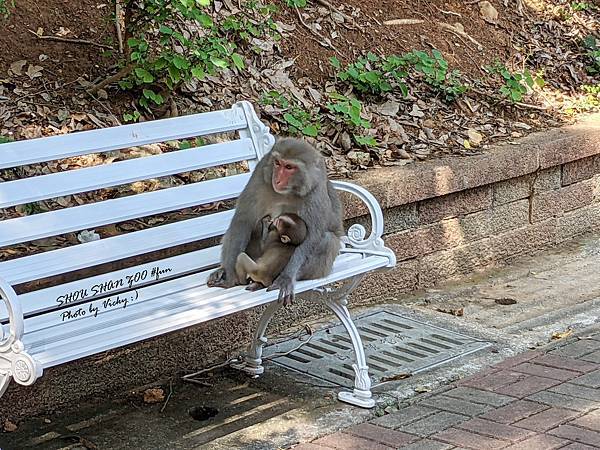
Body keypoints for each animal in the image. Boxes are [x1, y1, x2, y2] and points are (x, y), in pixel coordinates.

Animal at [209, 139, 344, 304]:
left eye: (289, 167)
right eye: (277, 163)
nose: (277, 179)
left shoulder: (315, 190)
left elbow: (313, 236)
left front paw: (286, 277)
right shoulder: (260, 173)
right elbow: (243, 219)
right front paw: (229, 274)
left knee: (327, 240)